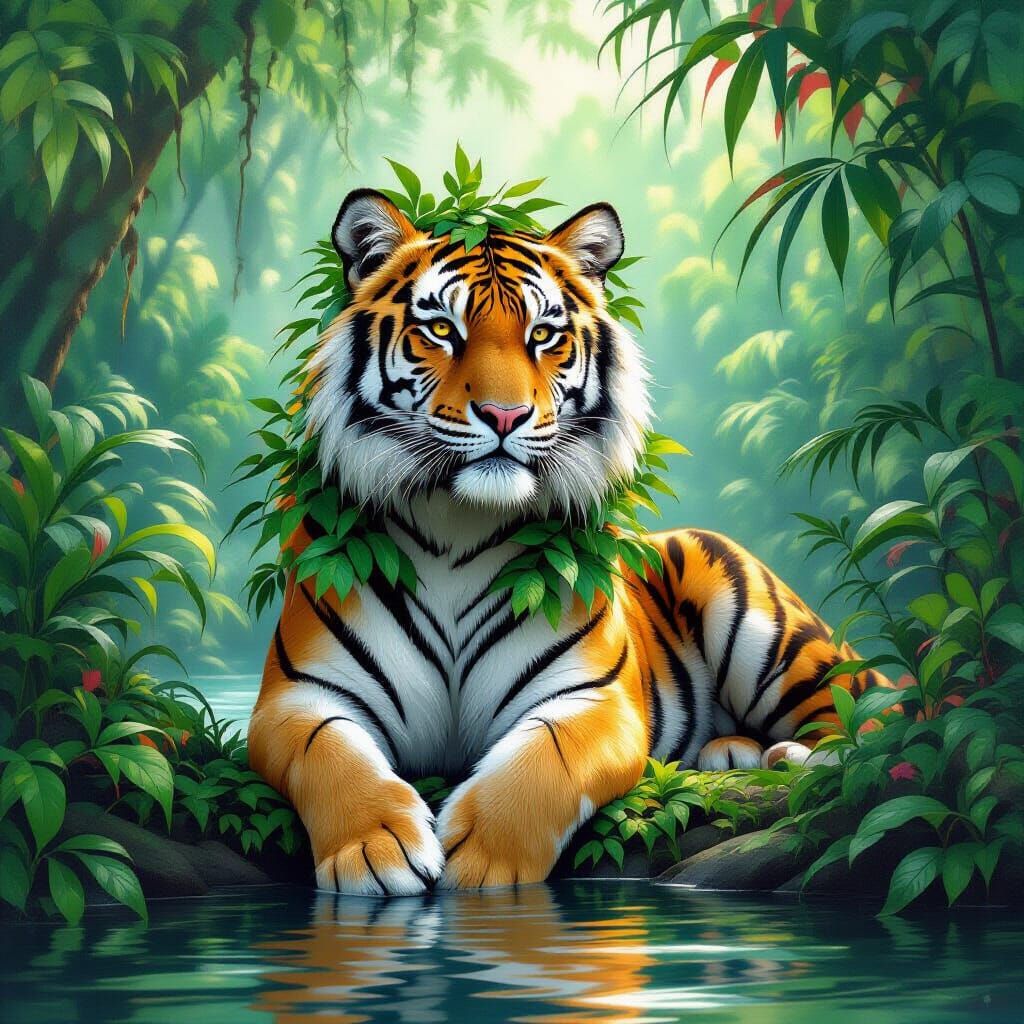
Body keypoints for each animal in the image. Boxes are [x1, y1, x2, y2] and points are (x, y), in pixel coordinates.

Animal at [248, 188, 881, 895]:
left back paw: (797, 755)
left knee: (869, 712)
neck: (456, 525)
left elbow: (545, 761)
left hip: (765, 624)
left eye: (543, 335)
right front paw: (373, 849)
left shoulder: (594, 698)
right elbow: (330, 755)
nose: (504, 415)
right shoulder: (297, 697)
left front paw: (485, 857)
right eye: (441, 329)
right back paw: (732, 750)